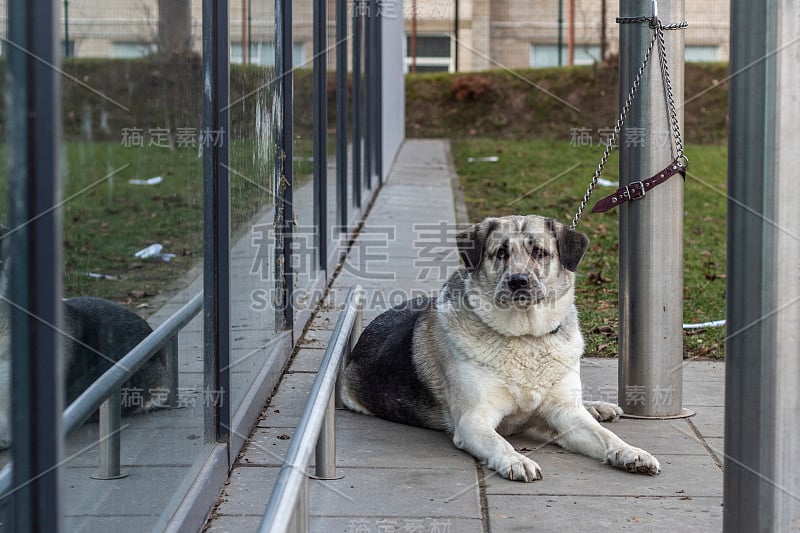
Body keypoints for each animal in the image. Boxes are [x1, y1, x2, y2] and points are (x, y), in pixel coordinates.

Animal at [340, 214, 660, 480]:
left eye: (539, 252)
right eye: (501, 253)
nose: (518, 281)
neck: (527, 337)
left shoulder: (566, 415)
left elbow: (604, 435)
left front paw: (630, 452)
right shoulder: (474, 420)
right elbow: (499, 441)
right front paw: (516, 460)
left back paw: (599, 408)